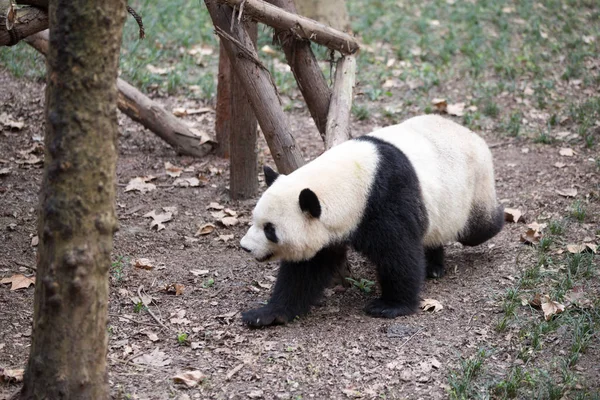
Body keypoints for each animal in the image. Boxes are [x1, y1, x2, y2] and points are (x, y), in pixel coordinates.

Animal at [237, 114, 504, 326]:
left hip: (472, 187)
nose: (245, 247)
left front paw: (389, 306)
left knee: (478, 228)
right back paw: (433, 266)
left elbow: (399, 253)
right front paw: (266, 314)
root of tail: (472, 135)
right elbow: (304, 272)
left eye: (270, 229)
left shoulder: (384, 200)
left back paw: (499, 217)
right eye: (255, 220)